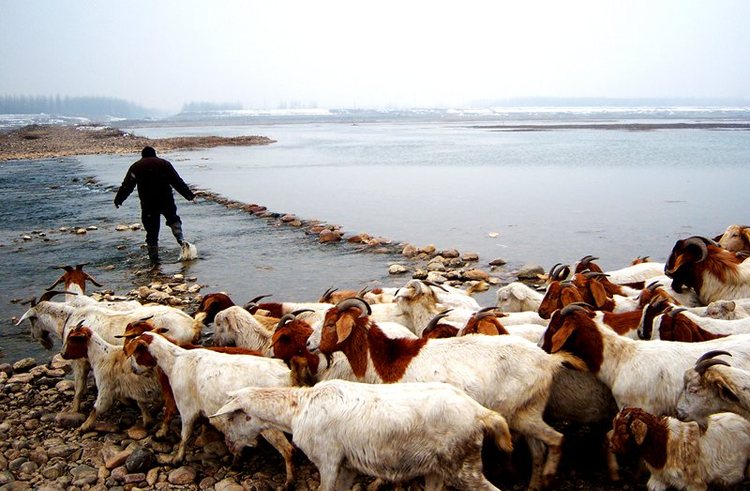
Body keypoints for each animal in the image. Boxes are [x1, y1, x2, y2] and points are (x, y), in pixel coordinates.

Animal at [214, 380, 516, 491]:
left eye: (230, 417)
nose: (228, 445)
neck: (297, 408)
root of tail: (480, 412)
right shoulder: (346, 464)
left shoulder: (327, 460)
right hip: (439, 468)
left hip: (463, 465)